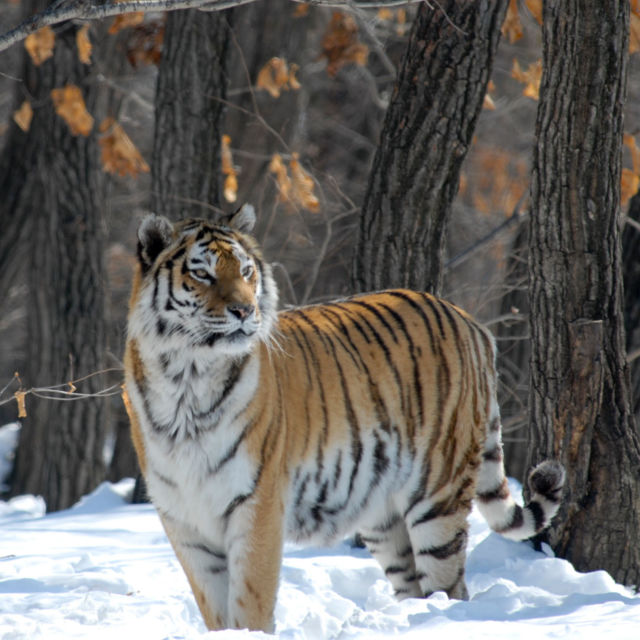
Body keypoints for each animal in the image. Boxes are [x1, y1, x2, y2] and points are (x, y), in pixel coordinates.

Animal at [123, 208, 564, 633]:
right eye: (202, 273)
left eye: (247, 271)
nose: (245, 311)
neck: (186, 378)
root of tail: (470, 322)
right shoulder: (185, 521)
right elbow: (214, 608)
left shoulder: (257, 504)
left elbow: (250, 601)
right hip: (383, 515)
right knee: (413, 584)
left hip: (439, 494)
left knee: (450, 586)